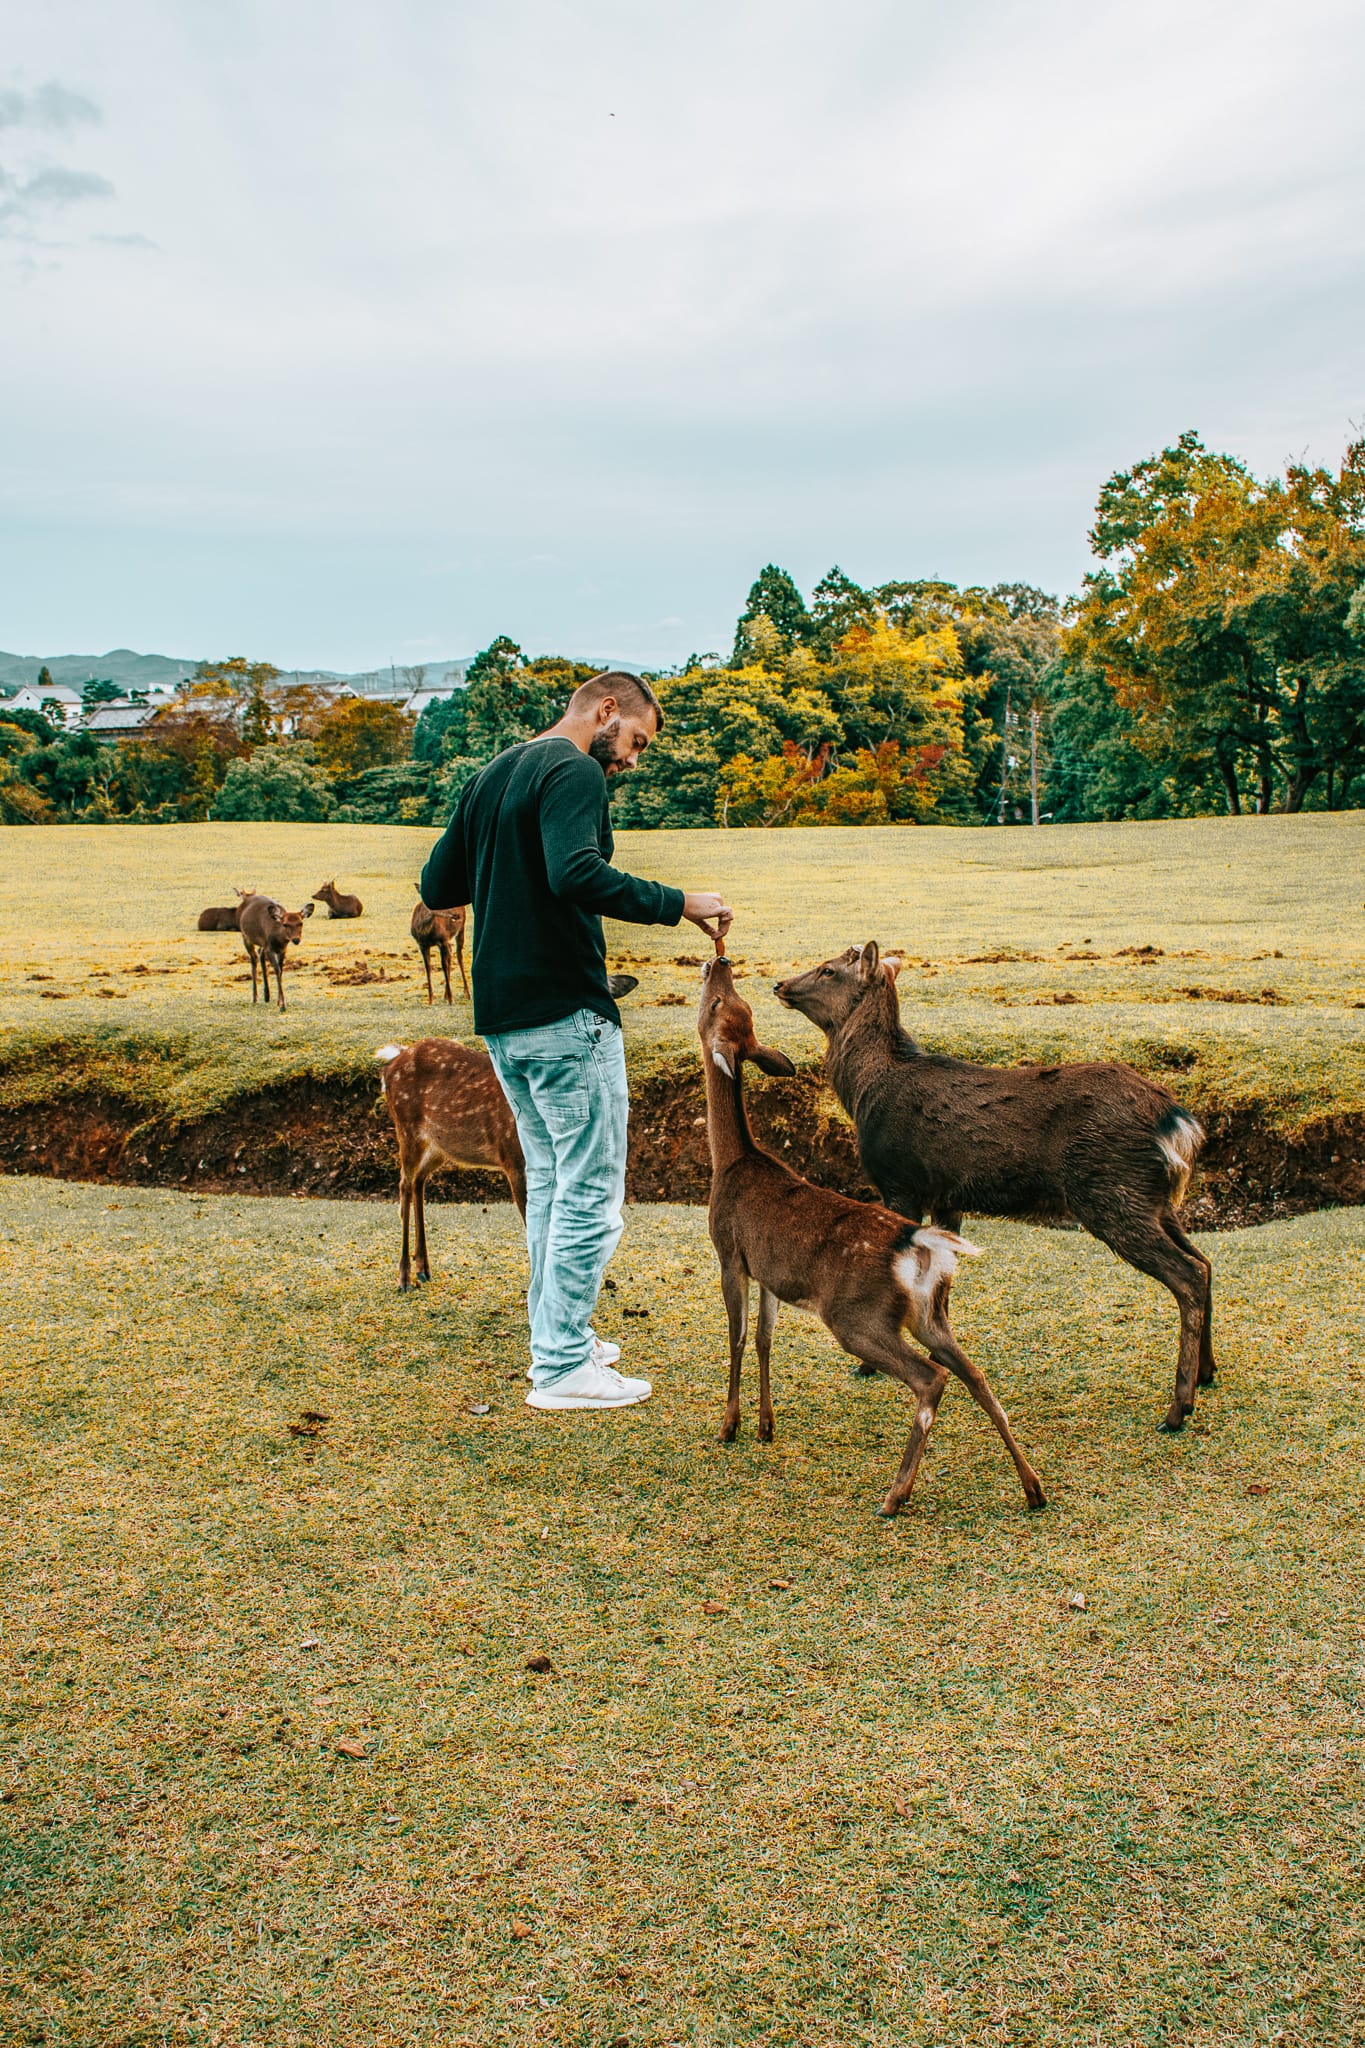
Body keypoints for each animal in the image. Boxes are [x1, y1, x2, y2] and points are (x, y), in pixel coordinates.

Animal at [699, 958, 1055, 1523]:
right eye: (733, 1004)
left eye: (717, 1003)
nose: (720, 962)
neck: (732, 1163)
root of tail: (921, 1244)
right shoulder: (770, 1273)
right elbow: (763, 1340)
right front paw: (766, 1426)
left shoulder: (729, 1252)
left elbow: (735, 1337)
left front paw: (730, 1426)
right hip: (930, 1315)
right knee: (976, 1375)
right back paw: (1033, 1487)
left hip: (856, 1315)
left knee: (931, 1379)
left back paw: (896, 1494)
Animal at [777, 937, 1219, 1433]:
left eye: (828, 969)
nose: (779, 984)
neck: (862, 1092)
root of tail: (1177, 1122)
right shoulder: (947, 1197)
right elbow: (942, 1282)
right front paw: (941, 1352)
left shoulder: (900, 1182)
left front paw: (869, 1365)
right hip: (1155, 1199)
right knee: (1205, 1263)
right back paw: (1206, 1374)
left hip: (1109, 1192)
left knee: (1188, 1274)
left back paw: (1178, 1409)